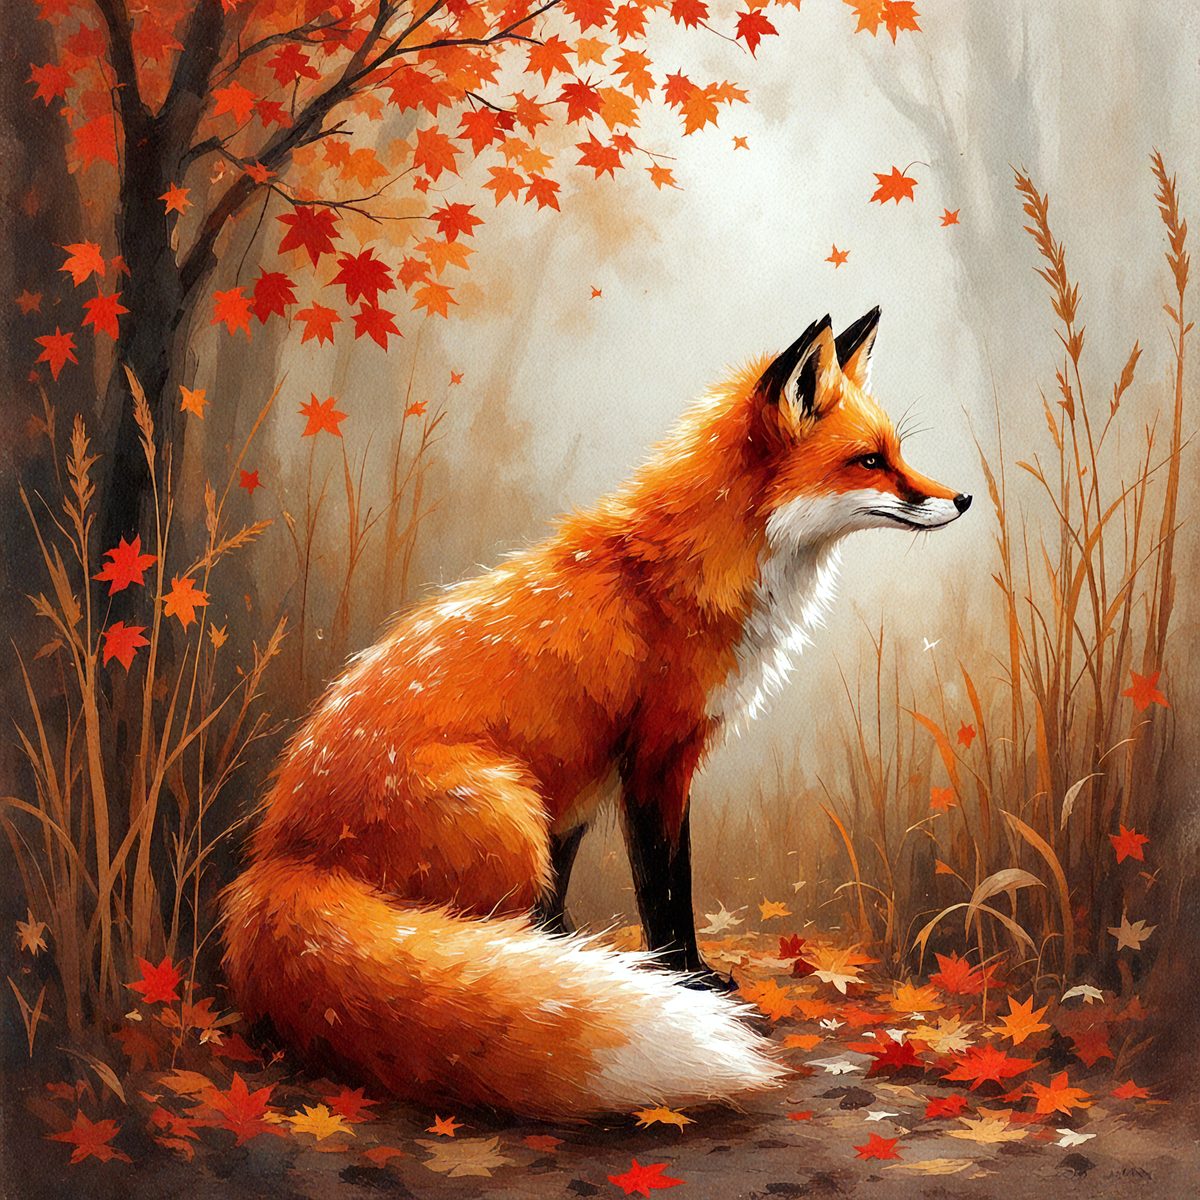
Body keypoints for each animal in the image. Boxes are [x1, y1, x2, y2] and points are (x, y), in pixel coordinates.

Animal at [222, 308, 970, 1121]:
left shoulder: (591, 782)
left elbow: (593, 899)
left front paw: (605, 970)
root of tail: (279, 856)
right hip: (507, 814)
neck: (686, 575)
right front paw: (688, 983)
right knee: (483, 931)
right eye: (869, 461)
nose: (963, 500)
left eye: (898, 453)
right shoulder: (657, 761)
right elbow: (667, 894)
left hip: (539, 807)